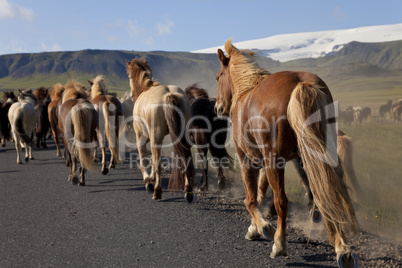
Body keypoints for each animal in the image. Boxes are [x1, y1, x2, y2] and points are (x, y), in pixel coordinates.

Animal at [125, 58, 195, 201]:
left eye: (129, 75)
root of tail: (168, 93)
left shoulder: (141, 136)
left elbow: (144, 160)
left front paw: (148, 182)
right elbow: (151, 159)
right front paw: (151, 178)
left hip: (156, 137)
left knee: (158, 163)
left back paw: (157, 191)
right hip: (181, 136)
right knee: (185, 158)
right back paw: (188, 191)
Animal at [215, 39, 360, 266]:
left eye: (219, 76)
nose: (218, 107)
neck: (245, 91)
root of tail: (301, 83)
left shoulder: (249, 159)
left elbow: (251, 198)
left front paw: (263, 227)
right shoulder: (272, 161)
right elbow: (260, 192)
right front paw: (254, 228)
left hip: (277, 162)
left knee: (282, 201)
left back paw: (279, 244)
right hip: (317, 156)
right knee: (328, 195)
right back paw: (342, 249)